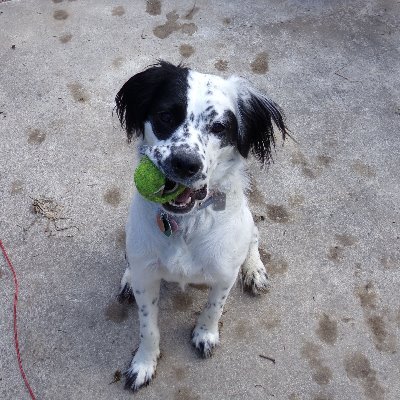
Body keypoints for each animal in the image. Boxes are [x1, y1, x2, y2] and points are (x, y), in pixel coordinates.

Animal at [115, 61, 288, 390]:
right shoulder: (147, 278)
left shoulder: (223, 274)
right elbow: (148, 327)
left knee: (254, 236)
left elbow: (213, 308)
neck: (186, 224)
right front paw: (144, 363)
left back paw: (254, 270)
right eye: (165, 115)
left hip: (247, 223)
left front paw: (205, 335)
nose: (185, 163)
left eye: (219, 127)